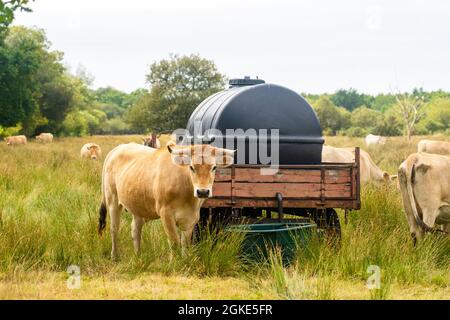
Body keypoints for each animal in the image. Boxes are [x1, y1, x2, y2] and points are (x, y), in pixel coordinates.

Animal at [98, 141, 236, 258]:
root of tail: (118, 148)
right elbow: (174, 242)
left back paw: (138, 256)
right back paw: (115, 256)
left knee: (135, 231)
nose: (203, 191)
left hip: (138, 207)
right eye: (191, 167)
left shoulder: (191, 219)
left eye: (214, 167)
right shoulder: (166, 214)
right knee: (114, 229)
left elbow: (185, 244)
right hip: (112, 201)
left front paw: (184, 261)